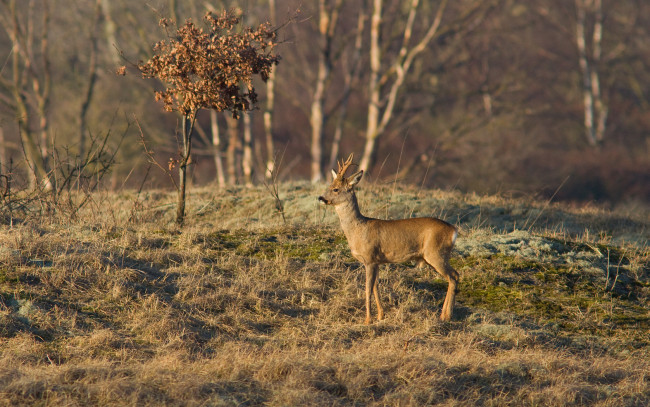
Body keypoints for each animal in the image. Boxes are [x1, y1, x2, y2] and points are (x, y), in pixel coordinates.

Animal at [318, 155, 458, 326]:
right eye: (329, 185)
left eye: (336, 189)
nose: (321, 198)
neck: (358, 229)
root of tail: (453, 230)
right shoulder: (377, 261)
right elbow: (376, 287)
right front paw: (380, 315)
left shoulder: (370, 258)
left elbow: (367, 289)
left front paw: (367, 320)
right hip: (435, 256)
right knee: (453, 276)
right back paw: (443, 315)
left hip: (436, 253)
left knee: (454, 276)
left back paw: (446, 316)